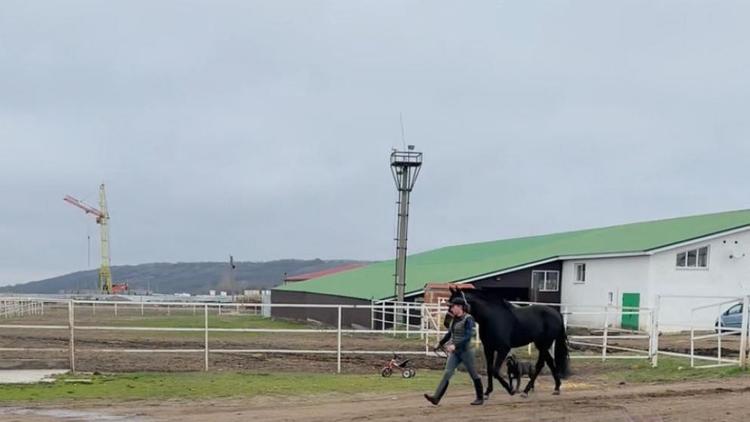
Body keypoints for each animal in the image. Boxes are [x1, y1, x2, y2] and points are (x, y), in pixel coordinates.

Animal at [444, 286, 572, 398]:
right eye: (450, 303)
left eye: (456, 303)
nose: (446, 322)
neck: (492, 317)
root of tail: (557, 314)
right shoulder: (488, 348)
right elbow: (490, 369)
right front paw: (487, 392)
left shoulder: (503, 349)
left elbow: (495, 371)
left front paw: (510, 390)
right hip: (540, 344)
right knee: (549, 362)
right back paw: (556, 388)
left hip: (544, 344)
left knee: (540, 364)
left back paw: (525, 391)